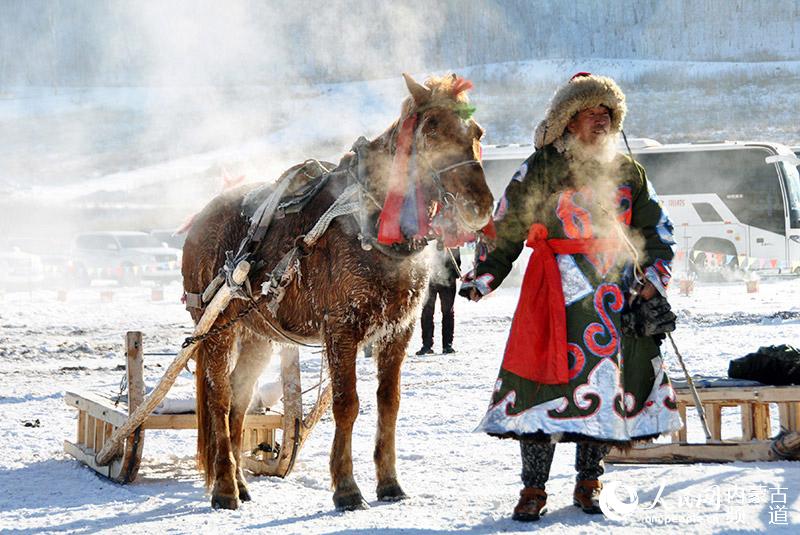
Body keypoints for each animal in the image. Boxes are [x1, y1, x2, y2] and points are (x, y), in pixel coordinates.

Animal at [182, 72, 494, 510]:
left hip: (259, 334)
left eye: (477, 131)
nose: (478, 205)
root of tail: (201, 218)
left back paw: (241, 483)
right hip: (217, 329)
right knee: (220, 399)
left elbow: (389, 403)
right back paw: (225, 488)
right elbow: (347, 404)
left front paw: (389, 482)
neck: (374, 224)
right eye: (432, 129)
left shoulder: (399, 329)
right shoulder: (341, 328)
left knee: (239, 402)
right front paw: (347, 488)